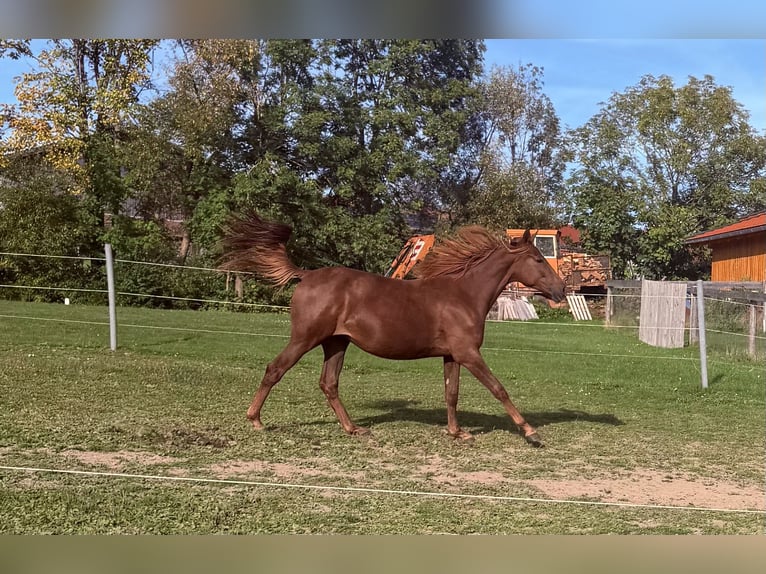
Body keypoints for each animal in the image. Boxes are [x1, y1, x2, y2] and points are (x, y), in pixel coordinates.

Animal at [219, 213, 566, 447]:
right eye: (538, 258)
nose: (561, 290)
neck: (463, 294)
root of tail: (306, 275)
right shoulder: (468, 353)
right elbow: (498, 388)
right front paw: (531, 432)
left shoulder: (452, 355)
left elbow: (451, 393)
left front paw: (457, 432)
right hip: (305, 338)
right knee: (275, 369)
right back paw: (256, 420)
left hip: (336, 343)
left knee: (329, 383)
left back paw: (353, 429)